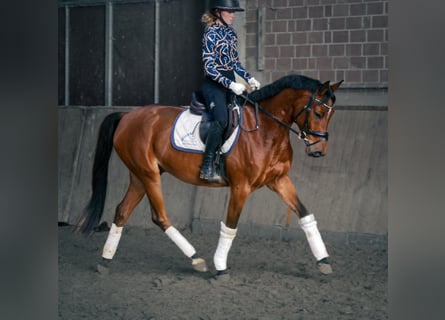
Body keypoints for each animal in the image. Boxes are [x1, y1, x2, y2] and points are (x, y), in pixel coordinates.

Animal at [73, 74, 344, 278]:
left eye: (331, 115)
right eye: (318, 113)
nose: (319, 151)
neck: (265, 130)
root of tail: (127, 116)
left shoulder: (279, 181)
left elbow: (305, 215)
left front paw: (323, 260)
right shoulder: (241, 187)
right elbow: (230, 226)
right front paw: (221, 267)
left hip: (139, 177)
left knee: (122, 212)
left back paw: (105, 260)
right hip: (148, 175)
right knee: (159, 217)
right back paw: (196, 259)